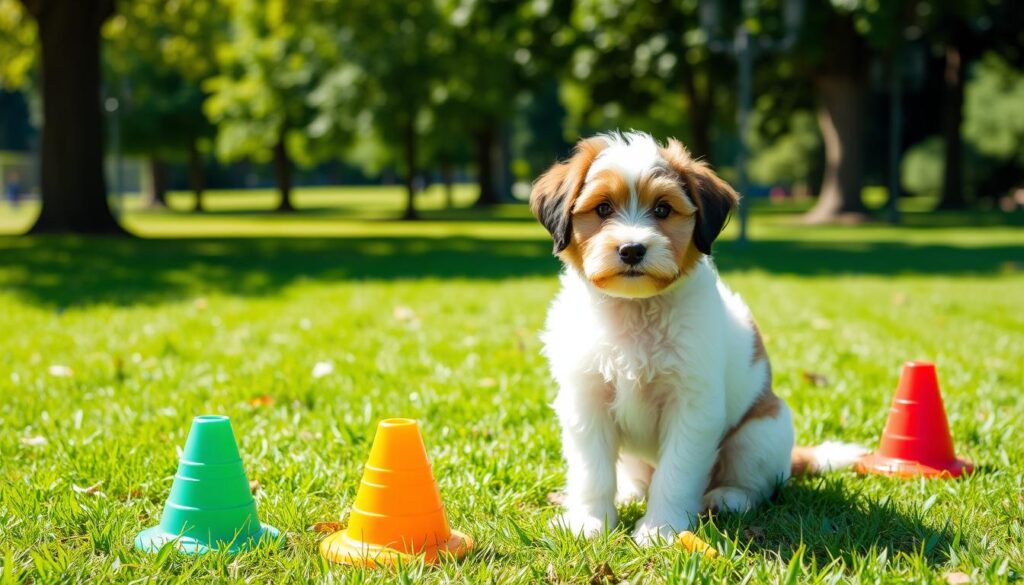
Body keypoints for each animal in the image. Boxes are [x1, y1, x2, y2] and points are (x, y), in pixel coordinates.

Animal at [532, 131, 868, 545]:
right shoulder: (586, 400)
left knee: (755, 483)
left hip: (761, 432)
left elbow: (676, 472)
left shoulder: (692, 407)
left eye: (662, 210)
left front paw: (661, 527)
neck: (636, 312)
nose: (631, 249)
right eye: (603, 209)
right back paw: (629, 493)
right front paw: (589, 521)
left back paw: (726, 498)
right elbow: (591, 470)